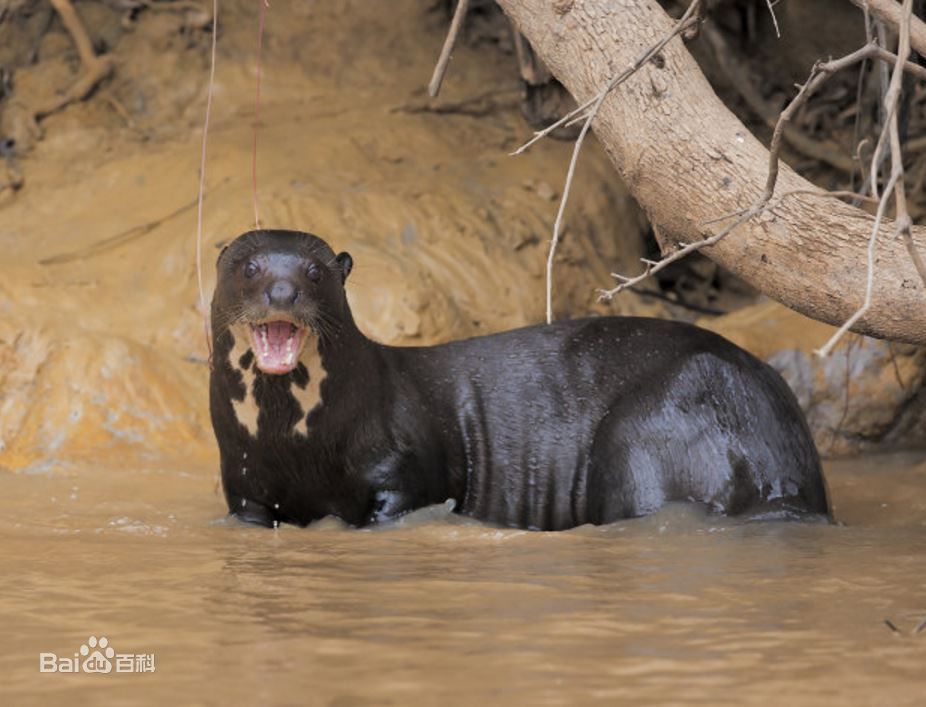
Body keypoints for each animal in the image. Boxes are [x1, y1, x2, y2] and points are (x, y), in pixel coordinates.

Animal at [210, 231, 832, 532]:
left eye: (315, 273)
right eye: (249, 268)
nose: (283, 293)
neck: (301, 444)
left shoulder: (403, 471)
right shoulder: (245, 487)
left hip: (650, 434)